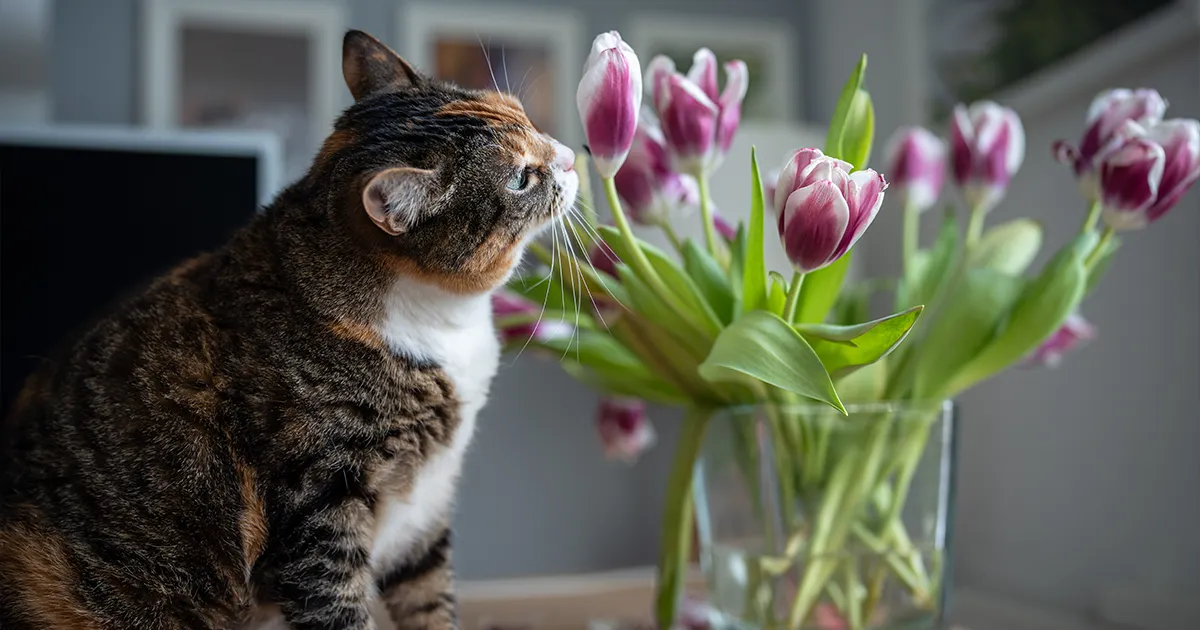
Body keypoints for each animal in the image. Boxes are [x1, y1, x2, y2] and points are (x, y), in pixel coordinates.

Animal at [0, 29, 578, 628]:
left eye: (525, 116)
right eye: (520, 177)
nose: (570, 155)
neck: (441, 323)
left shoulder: (427, 503)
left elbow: (428, 598)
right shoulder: (317, 503)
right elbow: (338, 605)